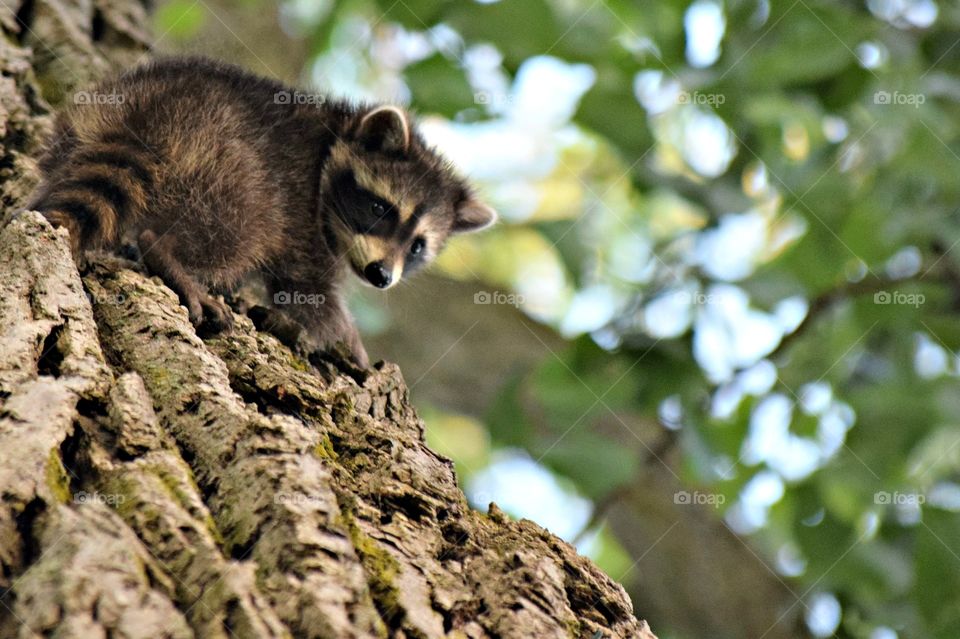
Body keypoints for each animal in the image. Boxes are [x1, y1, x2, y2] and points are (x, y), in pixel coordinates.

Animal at [28, 56, 497, 367]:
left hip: (80, 124)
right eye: (380, 208)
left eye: (417, 246)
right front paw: (351, 347)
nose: (382, 276)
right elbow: (309, 295)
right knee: (245, 226)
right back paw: (168, 255)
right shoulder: (306, 215)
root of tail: (154, 109)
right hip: (230, 163)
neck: (335, 139)